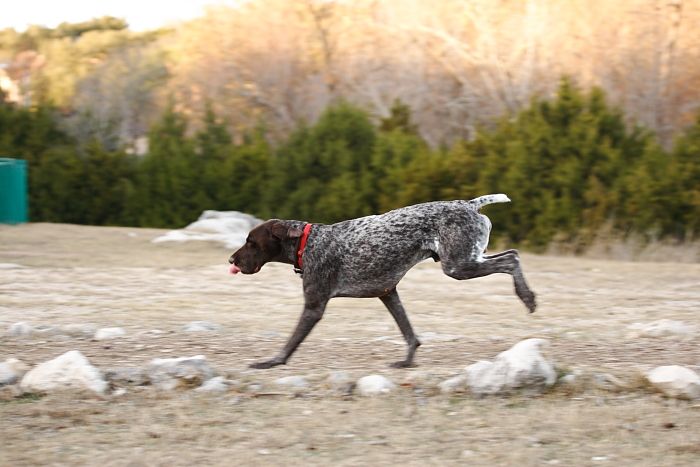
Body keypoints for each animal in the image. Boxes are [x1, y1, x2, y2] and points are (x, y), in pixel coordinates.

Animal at [230, 194, 536, 370]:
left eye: (251, 242)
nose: (232, 260)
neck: (308, 242)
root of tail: (469, 204)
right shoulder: (388, 293)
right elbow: (409, 334)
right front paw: (408, 361)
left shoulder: (314, 307)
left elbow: (290, 342)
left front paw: (272, 361)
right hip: (469, 258)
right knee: (512, 254)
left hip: (459, 266)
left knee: (512, 259)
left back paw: (527, 297)